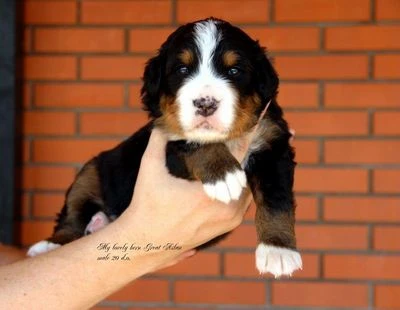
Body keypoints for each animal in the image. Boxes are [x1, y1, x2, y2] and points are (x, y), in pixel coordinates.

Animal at [28, 17, 302, 278]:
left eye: (234, 70)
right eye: (182, 69)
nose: (205, 103)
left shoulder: (273, 145)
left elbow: (276, 199)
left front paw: (278, 250)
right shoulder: (168, 142)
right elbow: (195, 142)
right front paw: (224, 174)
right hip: (91, 169)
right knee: (72, 215)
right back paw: (49, 245)